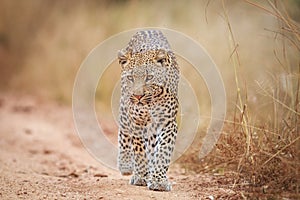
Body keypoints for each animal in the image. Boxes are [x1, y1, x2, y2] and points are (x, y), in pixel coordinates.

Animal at [116, 29, 178, 191]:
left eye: (149, 77)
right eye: (131, 78)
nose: (138, 96)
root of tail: (148, 29)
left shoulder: (168, 122)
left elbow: (163, 150)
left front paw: (158, 180)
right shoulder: (137, 121)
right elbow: (139, 151)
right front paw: (141, 176)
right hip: (124, 107)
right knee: (124, 131)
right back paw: (125, 164)